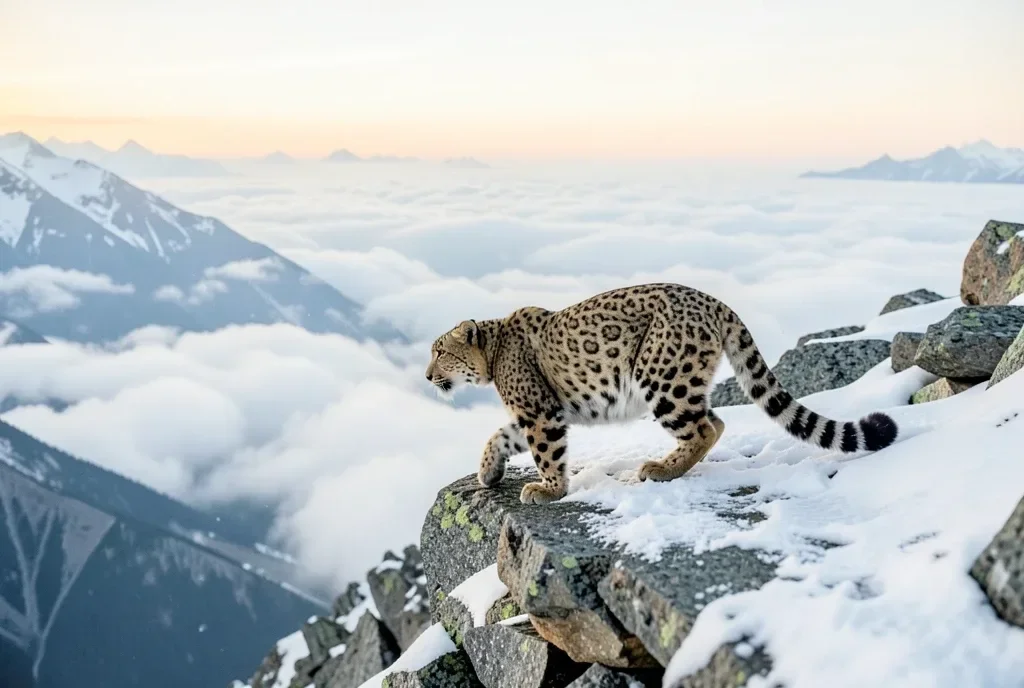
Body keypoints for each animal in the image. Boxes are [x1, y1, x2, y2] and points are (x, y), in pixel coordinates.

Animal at [425, 282, 899, 505]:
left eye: (439, 351)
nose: (428, 376)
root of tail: (714, 302)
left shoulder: (540, 412)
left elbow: (546, 452)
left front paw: (548, 489)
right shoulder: (536, 412)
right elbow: (500, 436)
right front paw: (488, 472)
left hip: (663, 378)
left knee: (704, 427)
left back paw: (660, 469)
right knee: (715, 420)